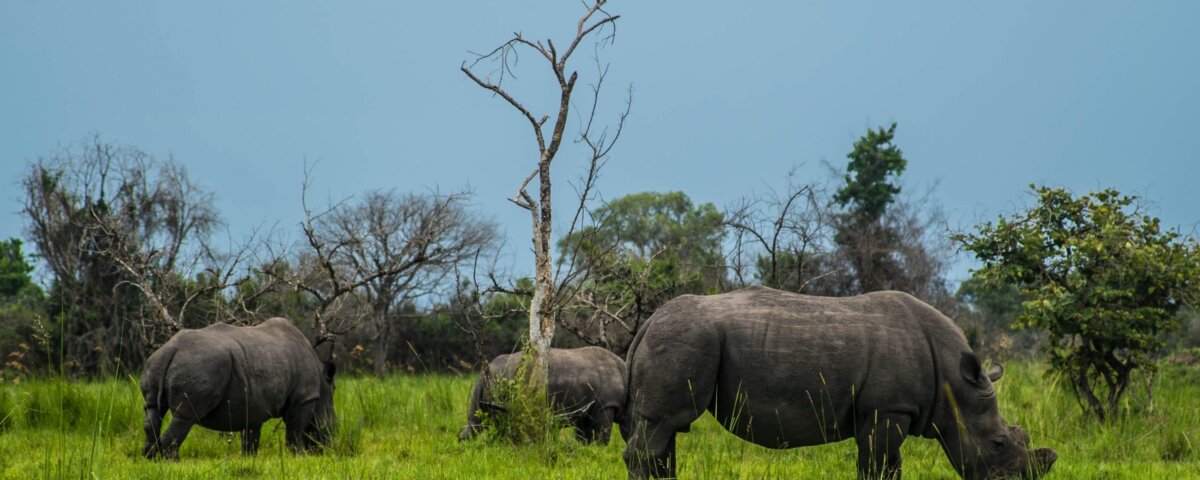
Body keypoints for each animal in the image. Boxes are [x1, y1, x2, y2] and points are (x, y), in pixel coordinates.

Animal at [141, 317, 336, 459]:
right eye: (331, 426)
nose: (328, 448)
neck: (323, 384)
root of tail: (172, 348)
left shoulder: (254, 403)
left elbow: (251, 434)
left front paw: (249, 458)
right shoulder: (305, 397)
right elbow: (295, 430)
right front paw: (299, 457)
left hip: (156, 363)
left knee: (153, 410)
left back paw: (150, 458)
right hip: (199, 365)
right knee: (185, 416)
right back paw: (172, 462)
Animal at [459, 346, 628, 444]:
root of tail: (487, 369)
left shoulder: (586, 409)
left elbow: (582, 438)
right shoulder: (605, 405)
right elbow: (602, 437)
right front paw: (600, 451)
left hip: (490, 380)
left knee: (476, 421)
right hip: (505, 379)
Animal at [624, 287, 1057, 479]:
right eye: (998, 444)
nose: (1024, 479)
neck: (953, 381)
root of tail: (648, 323)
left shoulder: (888, 410)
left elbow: (890, 465)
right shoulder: (888, 408)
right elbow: (876, 464)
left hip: (685, 340)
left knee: (668, 429)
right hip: (687, 339)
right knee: (663, 424)